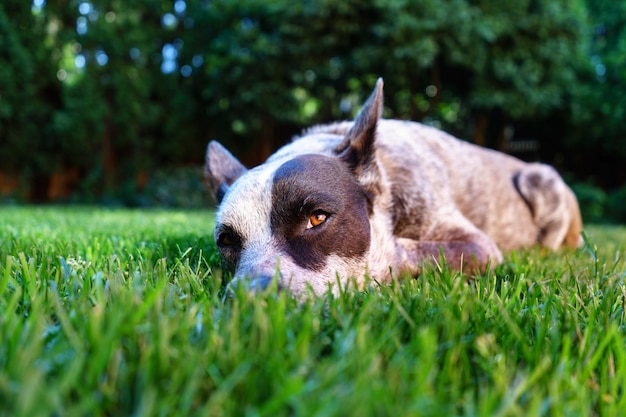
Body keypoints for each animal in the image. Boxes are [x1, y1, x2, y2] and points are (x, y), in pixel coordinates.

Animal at [205, 79, 580, 296]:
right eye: (227, 241)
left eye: (317, 218)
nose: (251, 298)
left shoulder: (479, 247)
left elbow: (410, 253)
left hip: (539, 180)